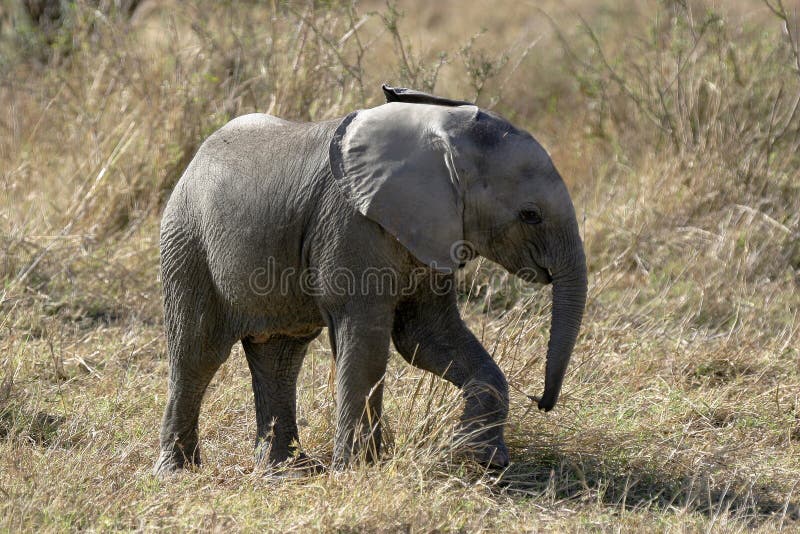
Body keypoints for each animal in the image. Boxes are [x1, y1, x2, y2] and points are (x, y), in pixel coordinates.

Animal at [152, 84, 588, 478]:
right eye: (530, 215)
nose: (541, 400)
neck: (437, 133)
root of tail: (194, 160)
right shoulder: (351, 226)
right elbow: (367, 340)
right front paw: (357, 472)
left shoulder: (431, 231)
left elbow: (427, 336)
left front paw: (480, 458)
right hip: (186, 243)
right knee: (197, 351)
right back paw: (177, 473)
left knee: (280, 356)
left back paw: (287, 472)